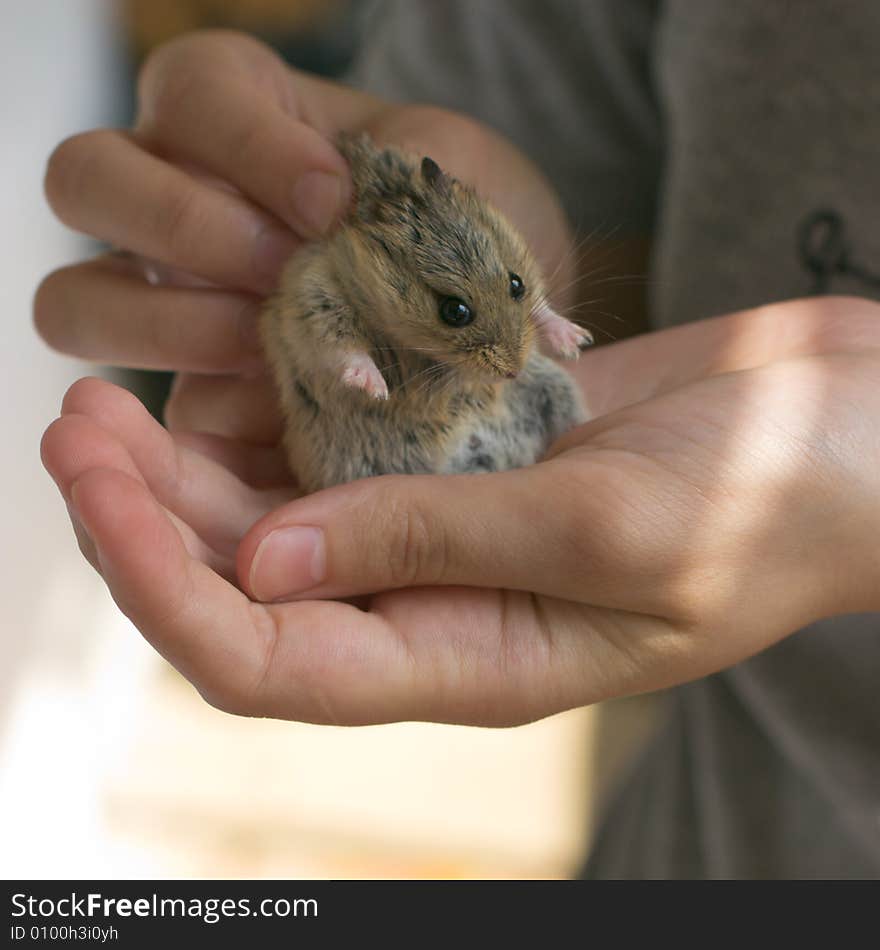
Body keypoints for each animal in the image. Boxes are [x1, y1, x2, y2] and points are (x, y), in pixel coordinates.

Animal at [262, 136, 592, 498]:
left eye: (516, 284)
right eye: (454, 311)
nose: (513, 373)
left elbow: (543, 308)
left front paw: (576, 340)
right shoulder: (315, 295)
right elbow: (342, 348)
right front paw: (377, 389)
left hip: (553, 388)